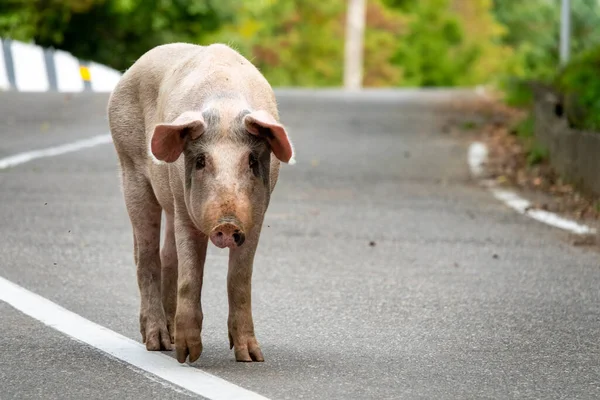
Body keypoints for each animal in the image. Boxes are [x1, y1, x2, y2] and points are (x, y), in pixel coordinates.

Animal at [109, 43, 296, 362]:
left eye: (251, 160)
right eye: (200, 160)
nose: (227, 224)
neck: (225, 107)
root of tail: (129, 71)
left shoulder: (257, 215)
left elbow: (239, 278)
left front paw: (251, 357)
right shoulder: (185, 210)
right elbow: (191, 276)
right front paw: (188, 357)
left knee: (167, 256)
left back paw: (170, 338)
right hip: (130, 168)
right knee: (145, 256)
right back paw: (158, 344)